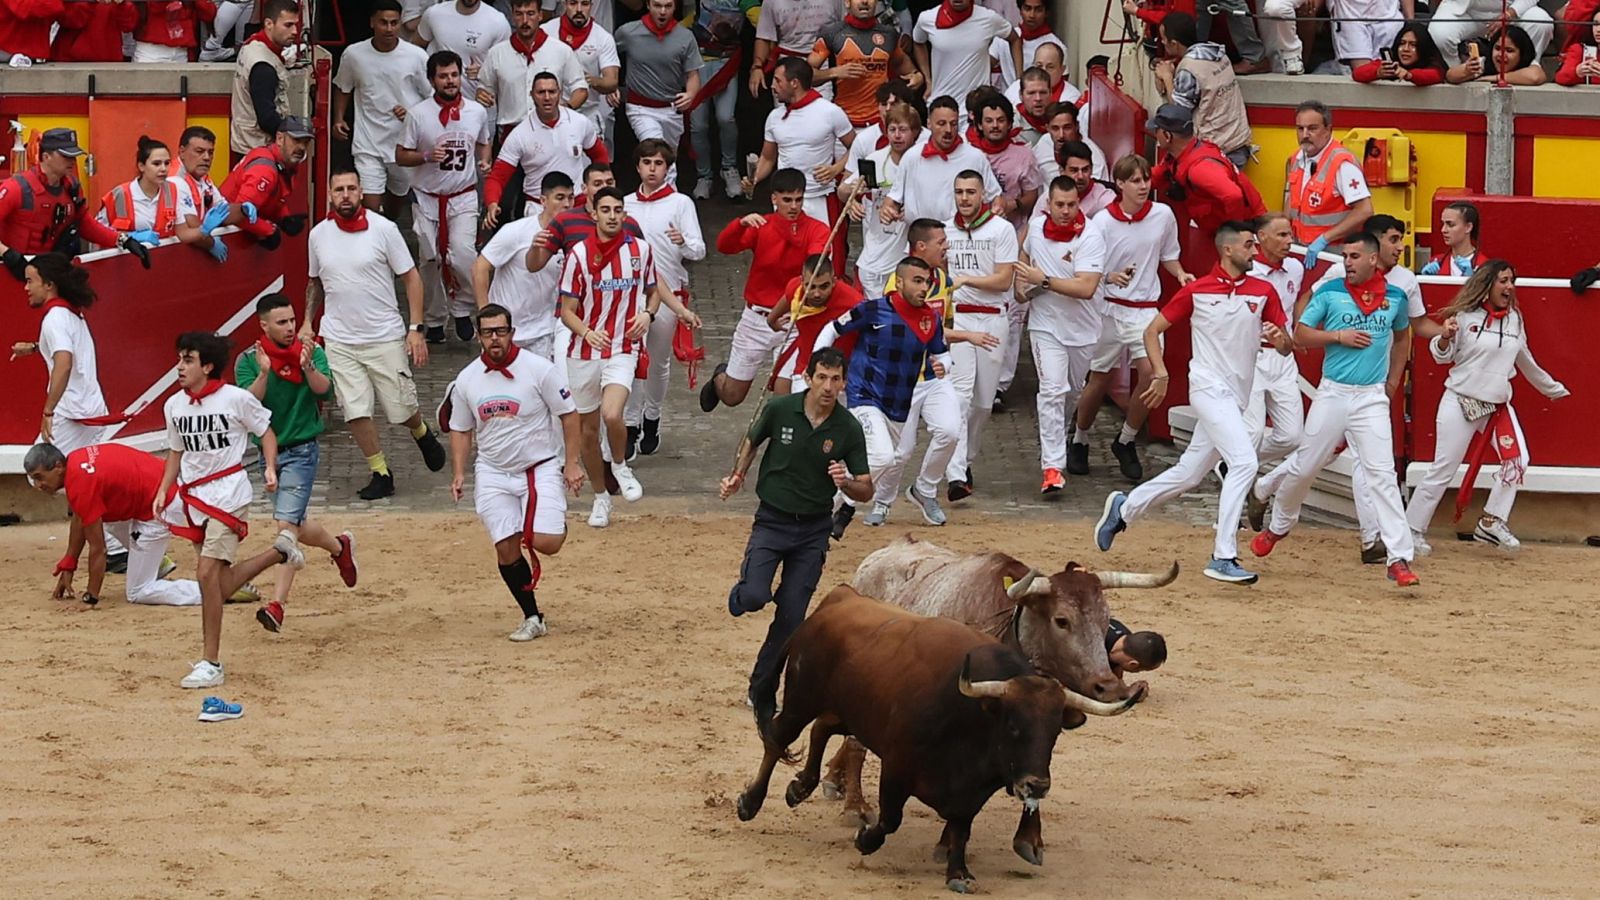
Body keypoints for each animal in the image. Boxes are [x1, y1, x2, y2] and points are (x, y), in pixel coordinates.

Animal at [732, 586, 1126, 883]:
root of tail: (837, 601)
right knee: (778, 739)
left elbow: (962, 827)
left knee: (821, 729)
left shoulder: (972, 790)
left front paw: (958, 873)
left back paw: (800, 787)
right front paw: (866, 839)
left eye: (1055, 733)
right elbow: (890, 819)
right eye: (1014, 726)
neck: (971, 722)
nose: (1037, 785)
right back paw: (751, 802)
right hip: (802, 699)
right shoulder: (896, 768)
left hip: (849, 712)